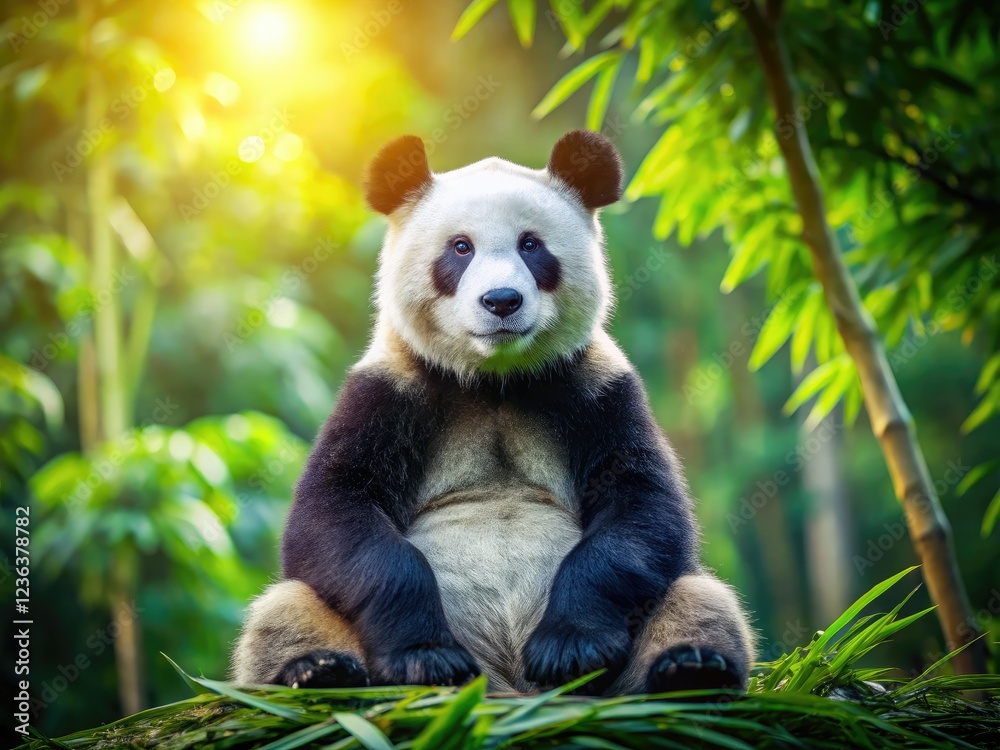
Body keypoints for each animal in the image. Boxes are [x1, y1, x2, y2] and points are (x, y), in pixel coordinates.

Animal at [232, 130, 755, 695]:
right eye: (461, 248)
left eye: (531, 245)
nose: (501, 301)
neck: (495, 380)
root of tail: (505, 686)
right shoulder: (388, 391)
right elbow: (333, 512)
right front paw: (426, 657)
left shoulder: (597, 390)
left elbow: (643, 508)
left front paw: (569, 647)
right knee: (284, 609)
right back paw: (319, 672)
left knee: (701, 597)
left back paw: (689, 668)